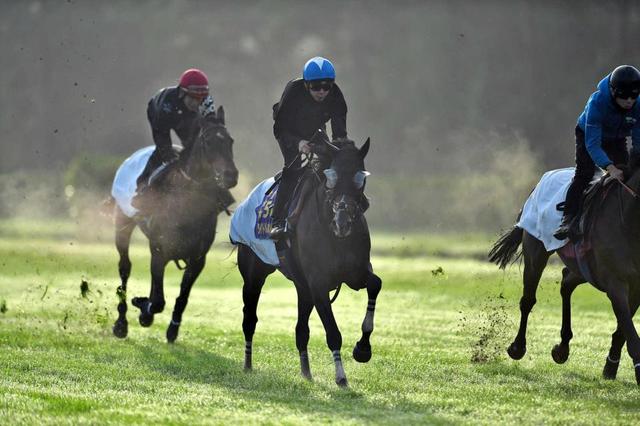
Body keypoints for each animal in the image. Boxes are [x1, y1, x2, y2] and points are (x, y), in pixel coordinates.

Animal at [111, 106, 239, 342]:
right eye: (208, 141)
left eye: (230, 140)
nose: (230, 175)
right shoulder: (159, 249)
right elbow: (158, 301)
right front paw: (143, 310)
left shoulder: (197, 259)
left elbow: (181, 296)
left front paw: (172, 328)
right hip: (122, 223)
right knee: (125, 269)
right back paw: (121, 324)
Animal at [238, 136, 382, 386]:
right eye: (331, 179)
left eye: (360, 180)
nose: (342, 223)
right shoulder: (318, 285)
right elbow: (333, 333)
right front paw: (341, 376)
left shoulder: (355, 273)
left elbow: (375, 283)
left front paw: (363, 349)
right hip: (254, 275)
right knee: (249, 319)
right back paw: (248, 364)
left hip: (301, 287)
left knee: (301, 330)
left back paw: (306, 371)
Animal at [490, 171, 640, 384]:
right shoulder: (615, 284)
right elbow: (630, 332)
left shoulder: (635, 286)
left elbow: (623, 330)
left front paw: (610, 367)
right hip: (536, 252)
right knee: (528, 300)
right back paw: (518, 347)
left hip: (585, 270)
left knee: (566, 281)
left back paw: (562, 348)